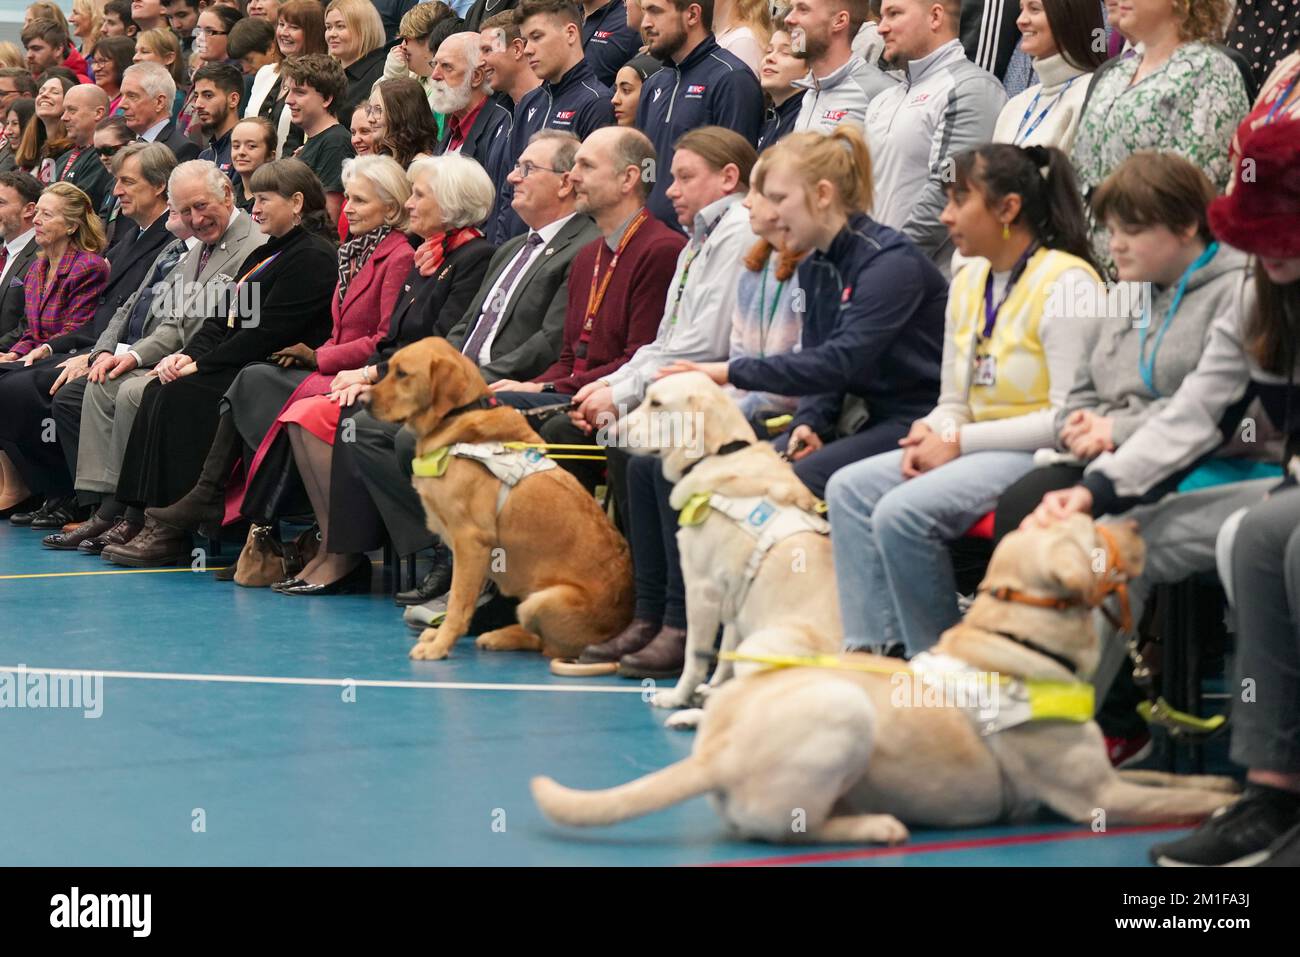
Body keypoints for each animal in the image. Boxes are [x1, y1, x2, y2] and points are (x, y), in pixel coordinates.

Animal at [369, 340, 631, 660]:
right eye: (389, 367)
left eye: (402, 373)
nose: (364, 400)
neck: (458, 416)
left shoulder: (470, 542)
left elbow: (458, 603)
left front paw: (440, 645)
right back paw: (497, 636)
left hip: (544, 599)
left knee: (550, 647)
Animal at [530, 514, 1237, 842]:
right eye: (1092, 532)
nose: (1136, 519)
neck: (1010, 641)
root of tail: (716, 756)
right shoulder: (1098, 795)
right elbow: (1181, 799)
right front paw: (1228, 808)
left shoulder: (1111, 775)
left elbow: (1178, 780)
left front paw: (1217, 782)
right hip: (840, 709)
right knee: (789, 824)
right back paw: (875, 826)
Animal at [618, 371, 842, 712]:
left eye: (656, 403)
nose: (608, 431)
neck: (718, 455)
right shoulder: (735, 601)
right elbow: (724, 656)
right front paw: (714, 687)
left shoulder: (702, 591)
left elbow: (694, 658)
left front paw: (678, 696)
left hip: (762, 645)